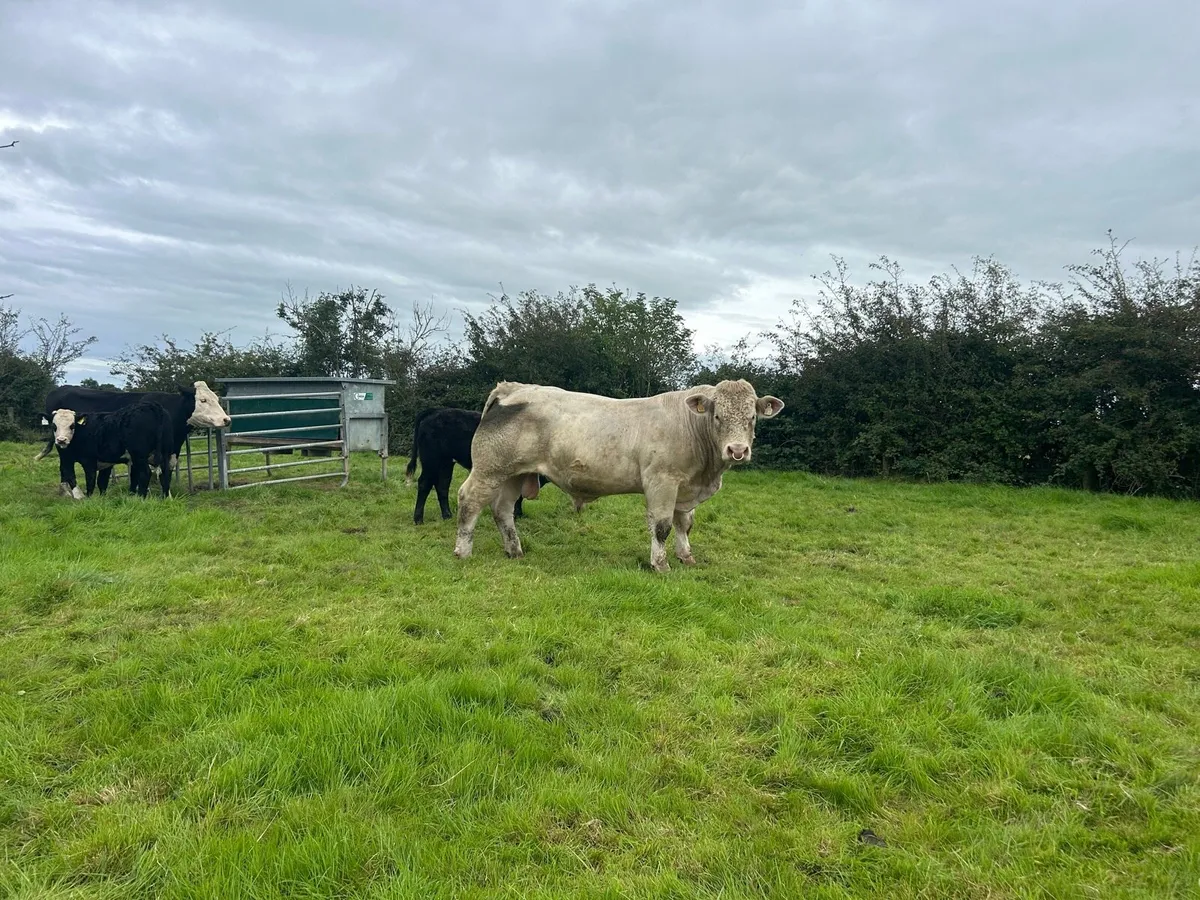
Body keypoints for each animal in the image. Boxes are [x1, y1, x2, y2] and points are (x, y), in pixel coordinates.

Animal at [35, 381, 231, 498]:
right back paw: (74, 494)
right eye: (203, 400)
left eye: (216, 398)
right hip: (64, 447)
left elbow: (157, 475)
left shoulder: (167, 453)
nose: (226, 419)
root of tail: (59, 388)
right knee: (65, 468)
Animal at [404, 406, 539, 524]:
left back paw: (447, 515)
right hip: (431, 459)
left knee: (442, 485)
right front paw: (516, 514)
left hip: (445, 462)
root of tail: (437, 410)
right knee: (424, 483)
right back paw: (418, 519)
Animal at [452, 379, 784, 572]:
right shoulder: (661, 481)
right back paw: (462, 551)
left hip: (514, 475)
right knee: (470, 501)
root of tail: (512, 387)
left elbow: (684, 524)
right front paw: (660, 565)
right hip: (489, 469)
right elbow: (662, 526)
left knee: (502, 510)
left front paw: (686, 556)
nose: (737, 450)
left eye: (752, 417)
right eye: (717, 416)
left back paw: (515, 551)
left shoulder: (684, 488)